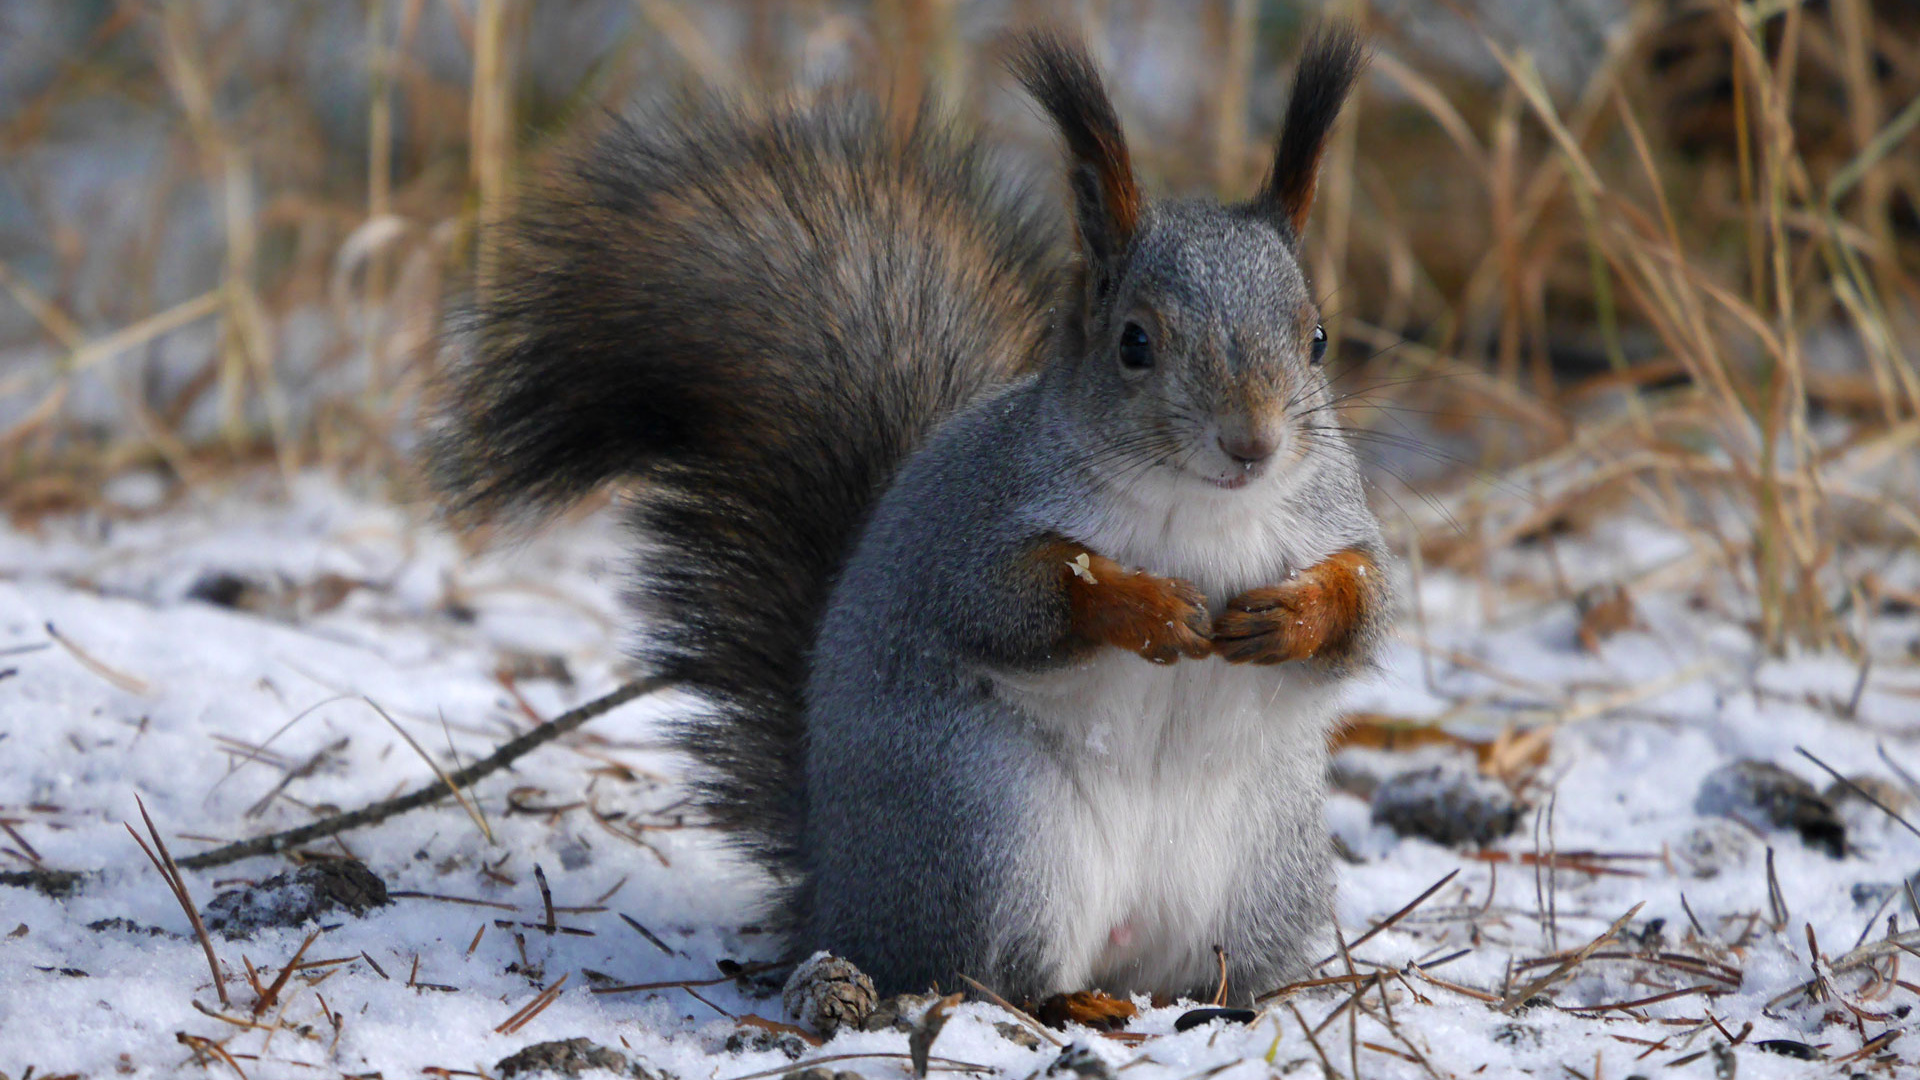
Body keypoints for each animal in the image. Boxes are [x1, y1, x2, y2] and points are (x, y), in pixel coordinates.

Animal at [432, 27, 1397, 999]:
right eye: (1135, 343)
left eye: (1317, 340)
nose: (1252, 444)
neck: (1198, 513)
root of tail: (832, 894)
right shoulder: (977, 524)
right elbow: (1010, 603)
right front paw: (1145, 607)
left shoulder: (1336, 518)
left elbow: (1367, 608)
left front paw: (1293, 615)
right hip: (991, 836)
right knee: (991, 973)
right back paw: (1074, 1004)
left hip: (1263, 872)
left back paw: (1221, 1004)